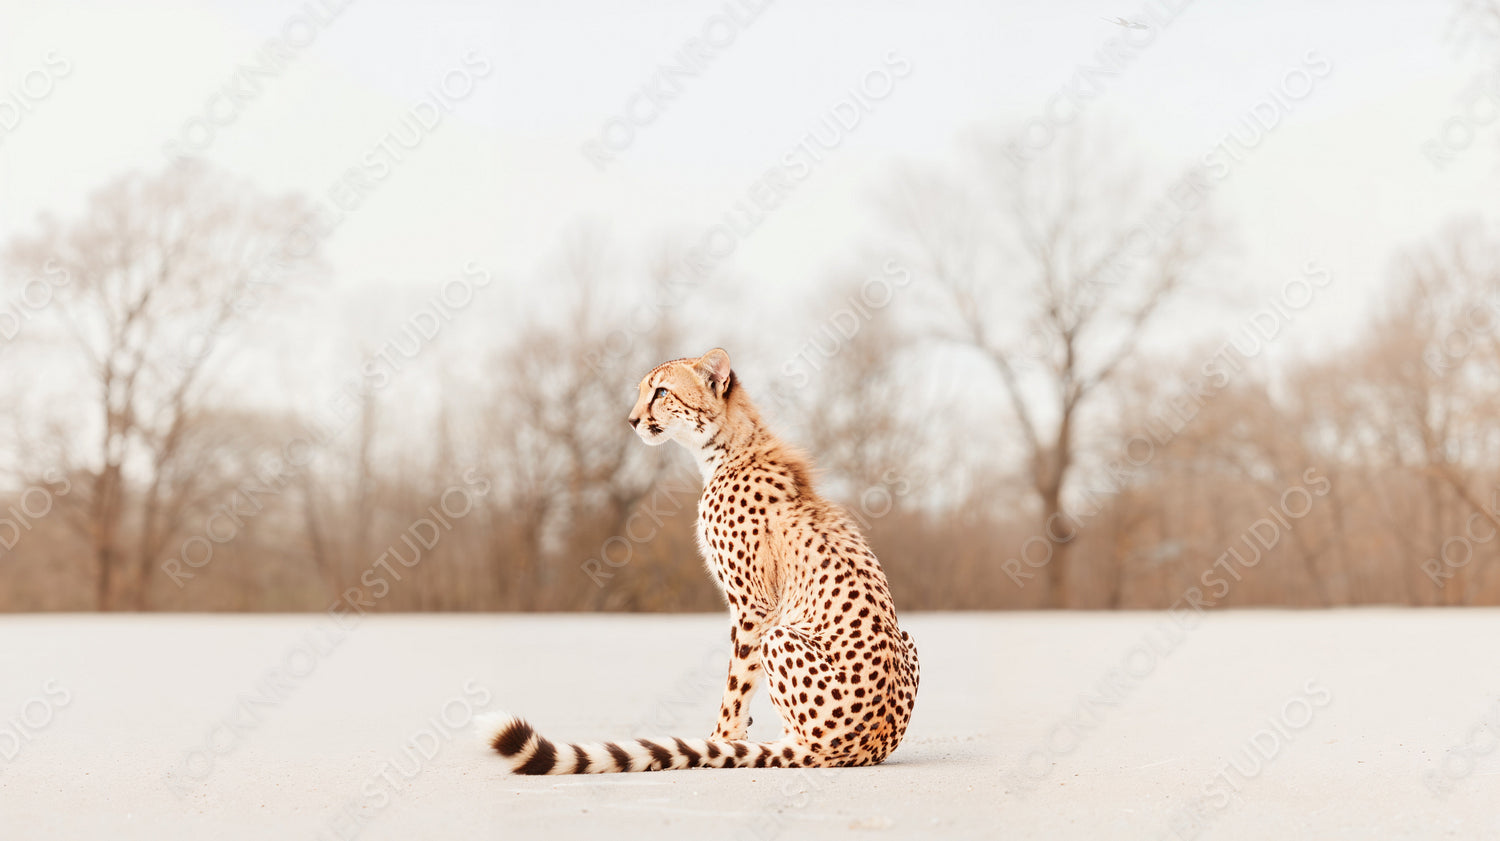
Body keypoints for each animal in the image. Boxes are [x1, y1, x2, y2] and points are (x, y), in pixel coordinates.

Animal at [486, 344, 918, 773]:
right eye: (643, 391)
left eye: (661, 392)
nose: (632, 421)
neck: (728, 448)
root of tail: (866, 745)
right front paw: (730, 738)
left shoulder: (755, 608)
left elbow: (737, 682)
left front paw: (722, 739)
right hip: (907, 638)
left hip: (780, 637)